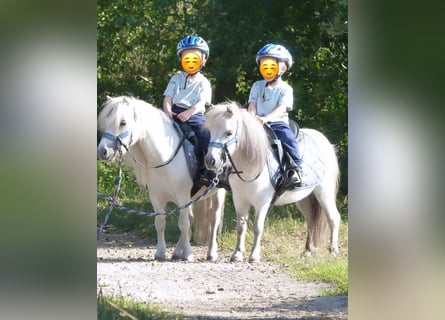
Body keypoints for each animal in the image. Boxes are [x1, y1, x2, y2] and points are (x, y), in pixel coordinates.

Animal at [95, 95, 224, 260]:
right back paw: (177, 251)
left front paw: (188, 254)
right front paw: (160, 253)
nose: (102, 151)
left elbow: (184, 224)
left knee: (214, 219)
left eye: (122, 122)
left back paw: (211, 253)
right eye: (106, 121)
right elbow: (160, 223)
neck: (165, 156)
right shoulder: (155, 197)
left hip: (217, 192)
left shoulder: (183, 195)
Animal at [204, 102, 340, 262]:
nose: (210, 161)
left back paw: (333, 251)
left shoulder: (263, 202)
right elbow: (241, 226)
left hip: (324, 193)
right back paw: (307, 250)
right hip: (304, 198)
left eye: (229, 133)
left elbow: (257, 227)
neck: (251, 165)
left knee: (333, 218)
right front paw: (237, 254)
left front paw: (254, 255)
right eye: (210, 131)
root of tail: (325, 141)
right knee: (311, 220)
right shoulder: (240, 200)